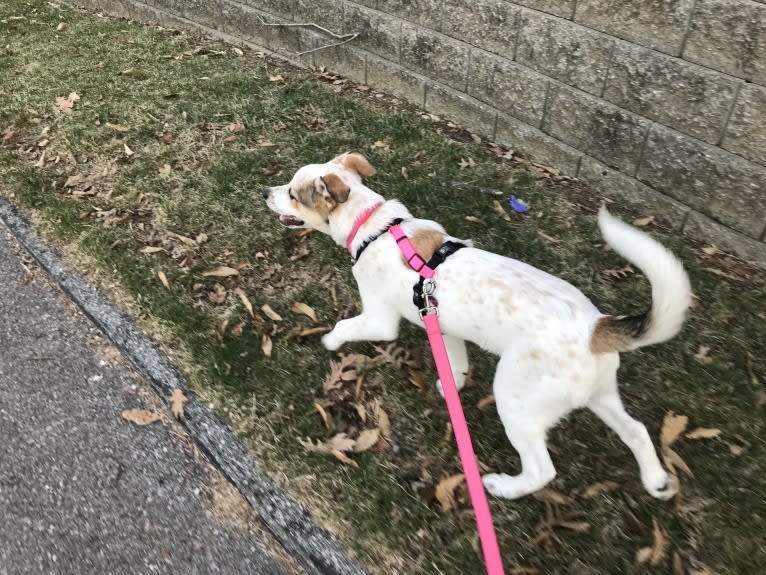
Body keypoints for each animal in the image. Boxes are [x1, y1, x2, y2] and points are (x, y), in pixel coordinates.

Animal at [262, 152, 688, 500]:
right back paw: (657, 482)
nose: (266, 191)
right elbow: (456, 362)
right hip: (601, 393)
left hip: (516, 401)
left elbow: (346, 326)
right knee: (636, 431)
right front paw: (451, 385)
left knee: (542, 469)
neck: (374, 226)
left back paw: (504, 487)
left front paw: (331, 342)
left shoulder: (380, 320)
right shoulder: (441, 323)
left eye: (293, 193)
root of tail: (595, 328)